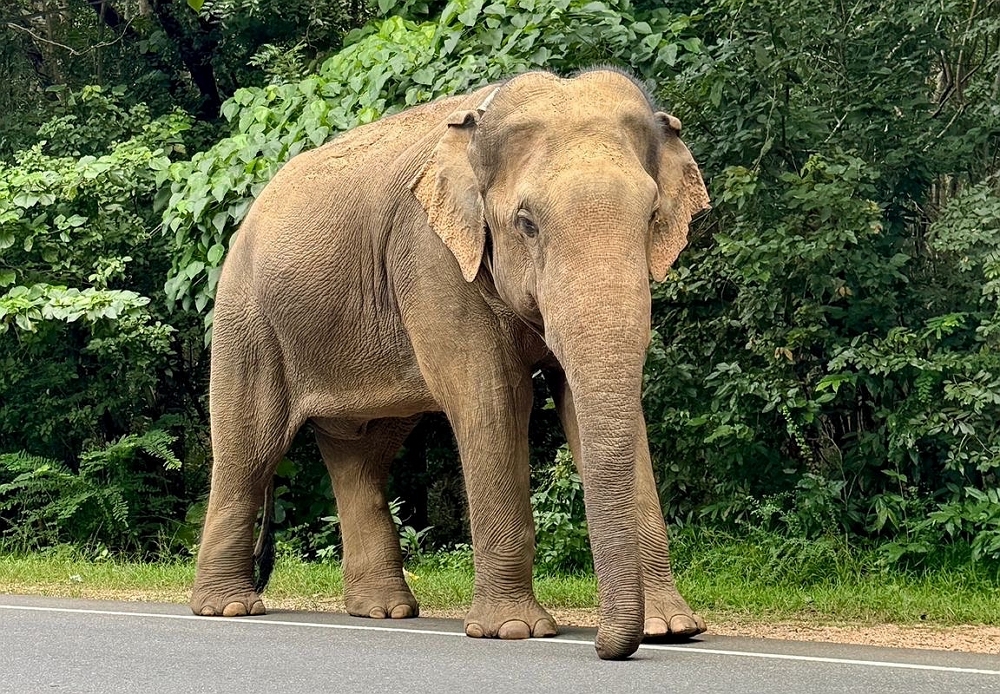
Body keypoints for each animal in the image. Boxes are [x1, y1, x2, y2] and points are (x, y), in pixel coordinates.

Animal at [190, 68, 710, 660]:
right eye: (527, 223)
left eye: (651, 218)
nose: (602, 646)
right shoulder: (433, 259)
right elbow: (493, 401)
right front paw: (515, 631)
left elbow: (583, 403)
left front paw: (673, 630)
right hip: (247, 318)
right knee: (250, 449)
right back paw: (229, 608)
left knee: (361, 460)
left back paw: (384, 612)